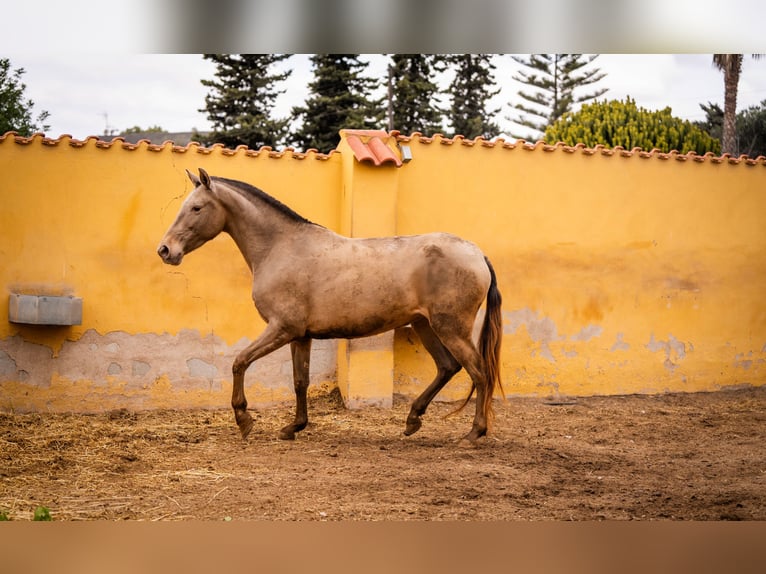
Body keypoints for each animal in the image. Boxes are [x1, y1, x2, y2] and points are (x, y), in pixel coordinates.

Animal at [157, 168, 503, 445]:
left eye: (196, 208)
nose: (165, 250)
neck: (281, 247)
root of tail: (477, 254)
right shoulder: (300, 336)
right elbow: (300, 381)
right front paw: (293, 427)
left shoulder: (282, 328)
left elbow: (239, 362)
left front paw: (244, 420)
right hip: (425, 325)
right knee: (447, 367)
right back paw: (412, 420)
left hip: (450, 328)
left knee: (479, 373)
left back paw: (473, 433)